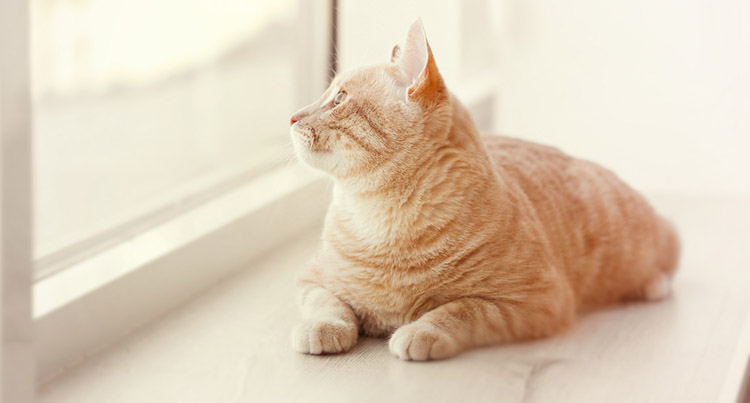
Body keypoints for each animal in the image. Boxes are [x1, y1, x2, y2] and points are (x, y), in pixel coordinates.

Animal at [288, 19, 680, 362]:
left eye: (339, 98)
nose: (291, 117)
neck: (383, 221)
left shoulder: (535, 301)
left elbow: (460, 309)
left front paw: (422, 330)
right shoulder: (310, 278)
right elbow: (327, 303)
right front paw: (322, 327)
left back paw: (652, 284)